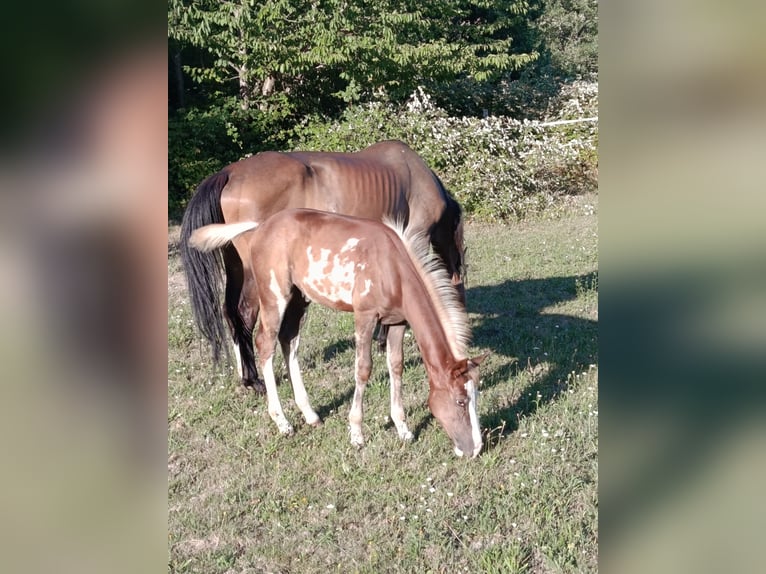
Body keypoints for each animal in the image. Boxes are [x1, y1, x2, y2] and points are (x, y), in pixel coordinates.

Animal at [179, 140, 466, 392]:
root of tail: (229, 173)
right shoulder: (414, 238)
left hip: (236, 266)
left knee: (230, 313)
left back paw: (245, 376)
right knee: (244, 314)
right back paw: (254, 380)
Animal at [189, 208, 484, 458]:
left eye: (476, 397)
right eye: (460, 401)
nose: (475, 449)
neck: (393, 269)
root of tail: (261, 226)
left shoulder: (397, 322)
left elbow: (396, 366)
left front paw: (403, 429)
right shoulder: (365, 316)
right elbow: (363, 369)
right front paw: (356, 434)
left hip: (299, 298)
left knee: (288, 341)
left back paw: (310, 415)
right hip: (274, 296)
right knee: (265, 344)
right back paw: (283, 422)